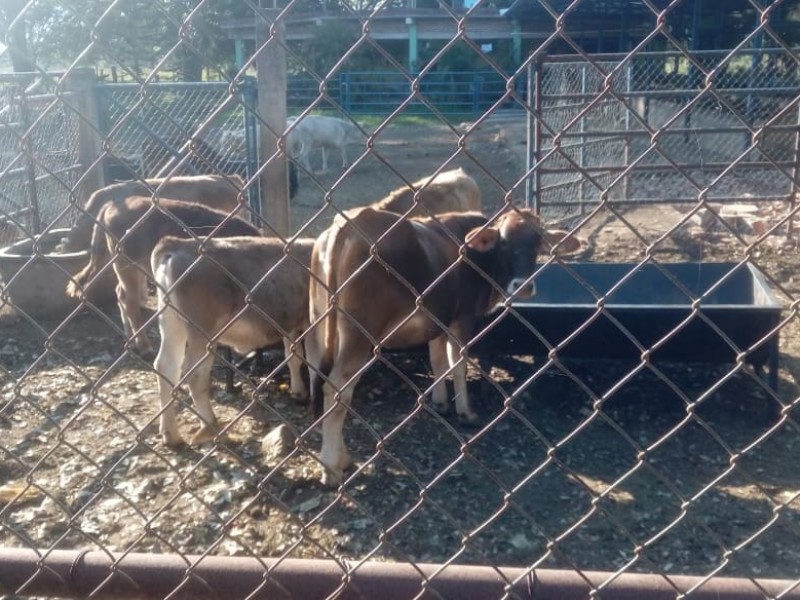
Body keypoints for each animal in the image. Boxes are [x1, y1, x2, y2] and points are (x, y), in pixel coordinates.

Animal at [152, 237, 314, 448]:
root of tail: (176, 243)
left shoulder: (291, 323)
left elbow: (294, 357)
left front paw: (298, 392)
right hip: (202, 331)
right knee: (194, 373)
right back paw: (211, 427)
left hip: (171, 323)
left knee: (166, 367)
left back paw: (171, 434)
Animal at [310, 209, 580, 486]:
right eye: (504, 242)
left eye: (538, 241)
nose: (524, 286)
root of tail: (348, 223)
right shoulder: (463, 318)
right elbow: (458, 364)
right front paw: (466, 412)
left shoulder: (437, 321)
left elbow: (437, 361)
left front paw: (440, 403)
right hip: (359, 335)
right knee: (337, 389)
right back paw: (331, 468)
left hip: (320, 324)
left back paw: (341, 458)